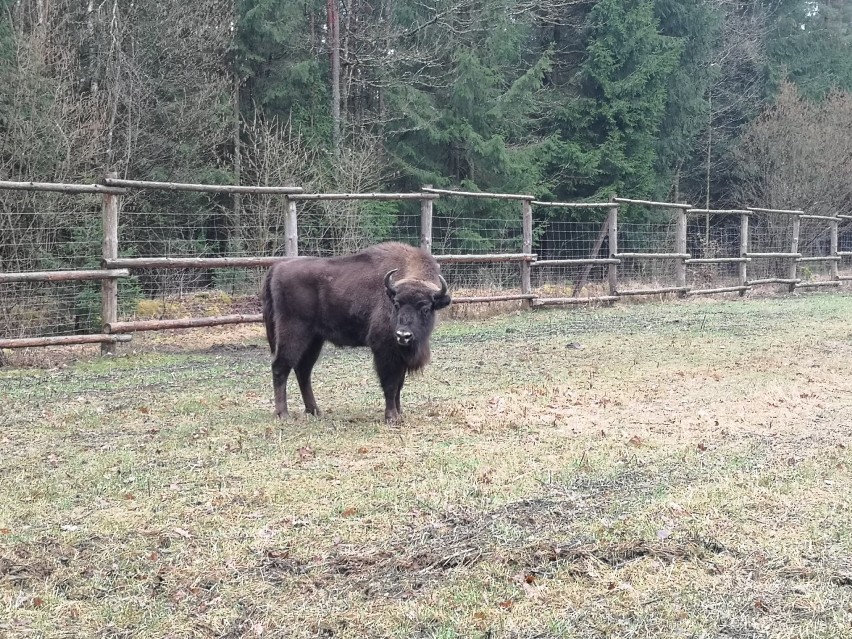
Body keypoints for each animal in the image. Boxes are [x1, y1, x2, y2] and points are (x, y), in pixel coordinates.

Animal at [262, 242, 452, 422]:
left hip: (314, 339)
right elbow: (390, 385)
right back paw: (283, 414)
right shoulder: (385, 351)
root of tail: (278, 267)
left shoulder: (400, 357)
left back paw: (315, 411)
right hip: (293, 333)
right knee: (281, 367)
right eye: (397, 304)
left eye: (426, 309)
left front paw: (400, 414)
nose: (403, 336)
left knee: (303, 370)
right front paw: (391, 417)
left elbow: (399, 385)